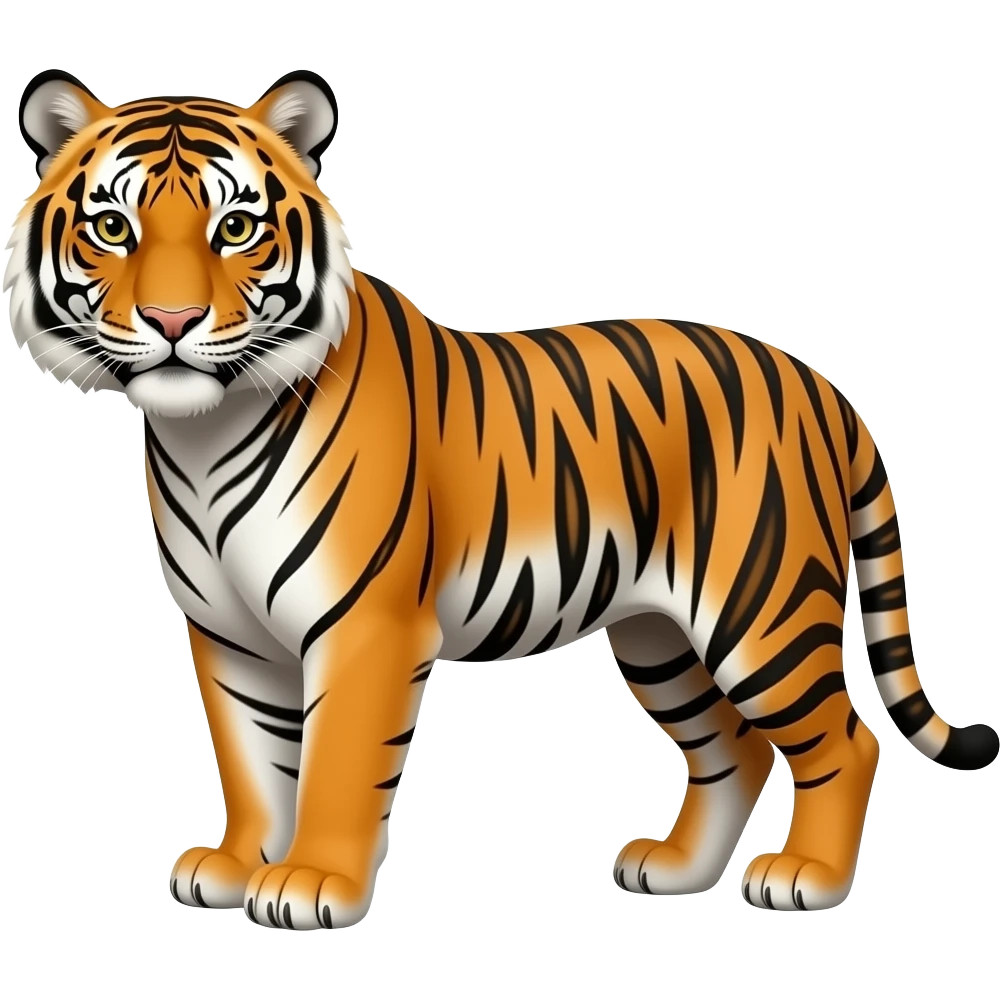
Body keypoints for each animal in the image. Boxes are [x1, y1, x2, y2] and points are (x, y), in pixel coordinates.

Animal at [5, 67, 997, 932]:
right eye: (112, 226)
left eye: (238, 227)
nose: (172, 324)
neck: (203, 434)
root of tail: (818, 382)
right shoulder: (230, 635)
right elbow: (252, 759)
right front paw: (239, 864)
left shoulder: (365, 627)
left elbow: (332, 766)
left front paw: (311, 883)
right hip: (659, 635)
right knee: (736, 746)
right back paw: (675, 869)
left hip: (762, 611)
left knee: (845, 740)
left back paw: (807, 879)